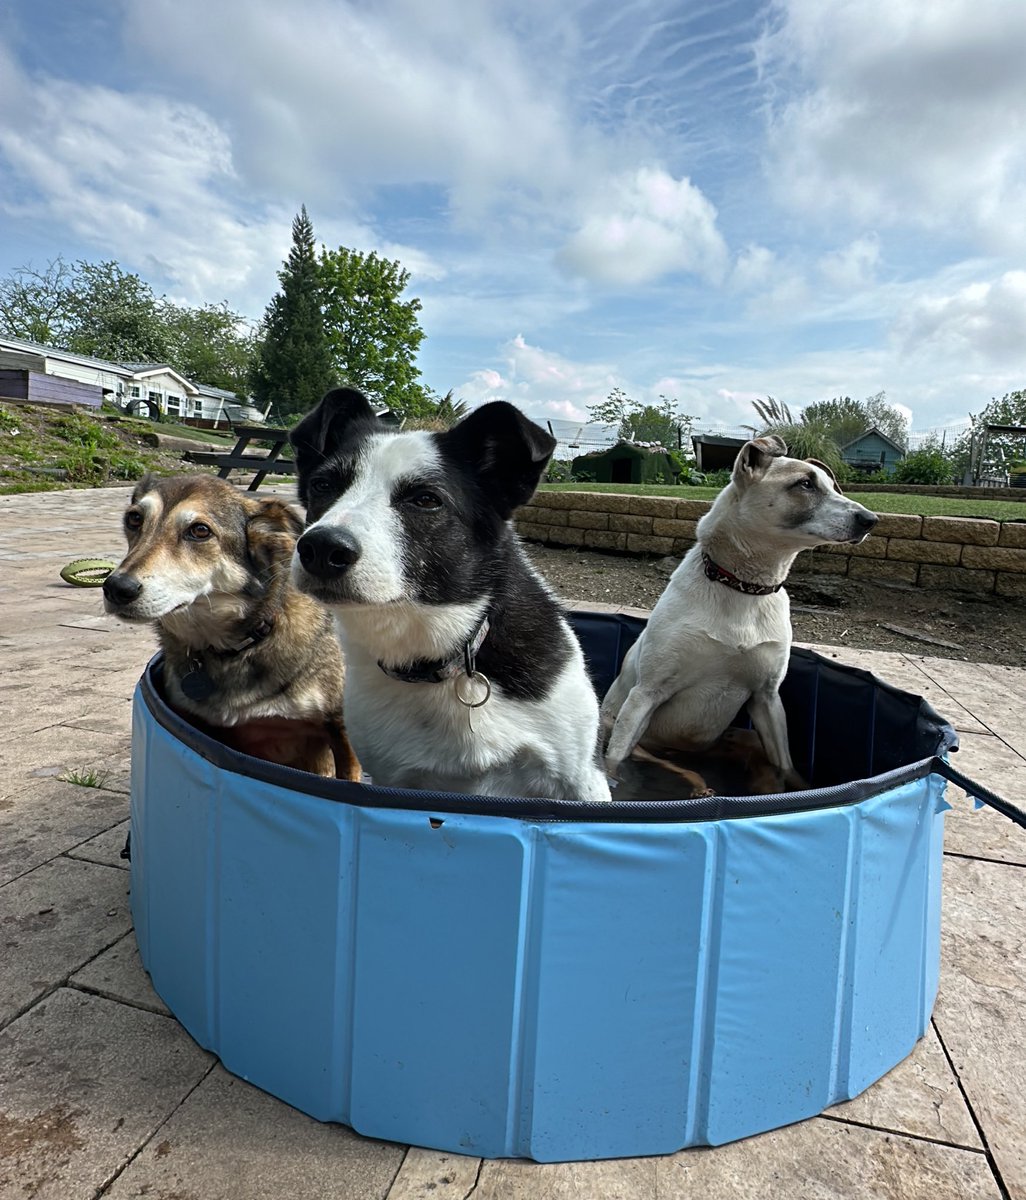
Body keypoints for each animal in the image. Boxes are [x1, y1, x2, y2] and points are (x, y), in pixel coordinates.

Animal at [604, 436, 878, 792]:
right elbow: (615, 761)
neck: (742, 587)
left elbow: (784, 762)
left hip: (743, 738)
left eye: (835, 488)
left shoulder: (767, 698)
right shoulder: (645, 695)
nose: (871, 519)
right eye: (804, 484)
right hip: (641, 740)